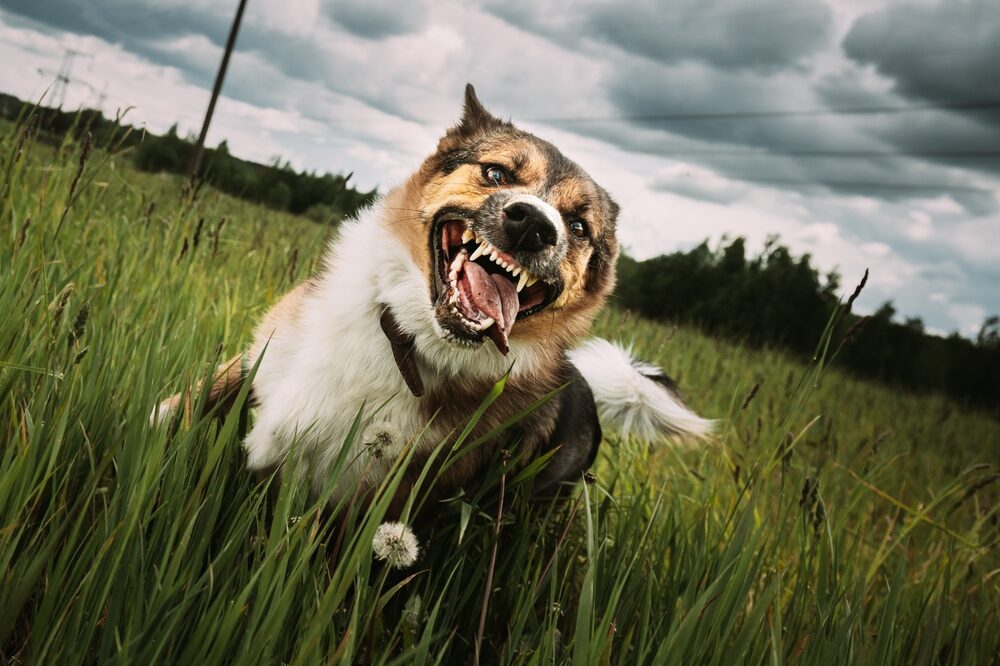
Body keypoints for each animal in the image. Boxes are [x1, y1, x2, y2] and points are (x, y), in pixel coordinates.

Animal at [152, 85, 712, 506]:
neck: (405, 338)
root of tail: (585, 388)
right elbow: (193, 401)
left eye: (577, 226)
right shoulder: (261, 356)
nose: (534, 226)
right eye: (496, 173)